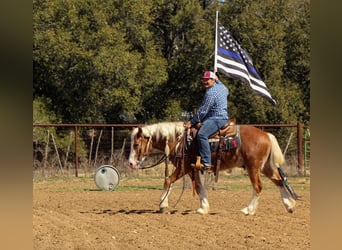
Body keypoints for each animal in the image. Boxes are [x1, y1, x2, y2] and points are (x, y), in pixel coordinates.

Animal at [128, 122, 296, 216]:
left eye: (136, 144)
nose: (130, 163)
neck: (179, 140)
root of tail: (266, 134)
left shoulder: (183, 167)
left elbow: (168, 181)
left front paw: (163, 205)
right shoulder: (193, 169)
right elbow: (199, 187)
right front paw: (203, 208)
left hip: (253, 167)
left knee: (258, 186)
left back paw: (248, 210)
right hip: (265, 167)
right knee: (279, 181)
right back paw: (289, 205)